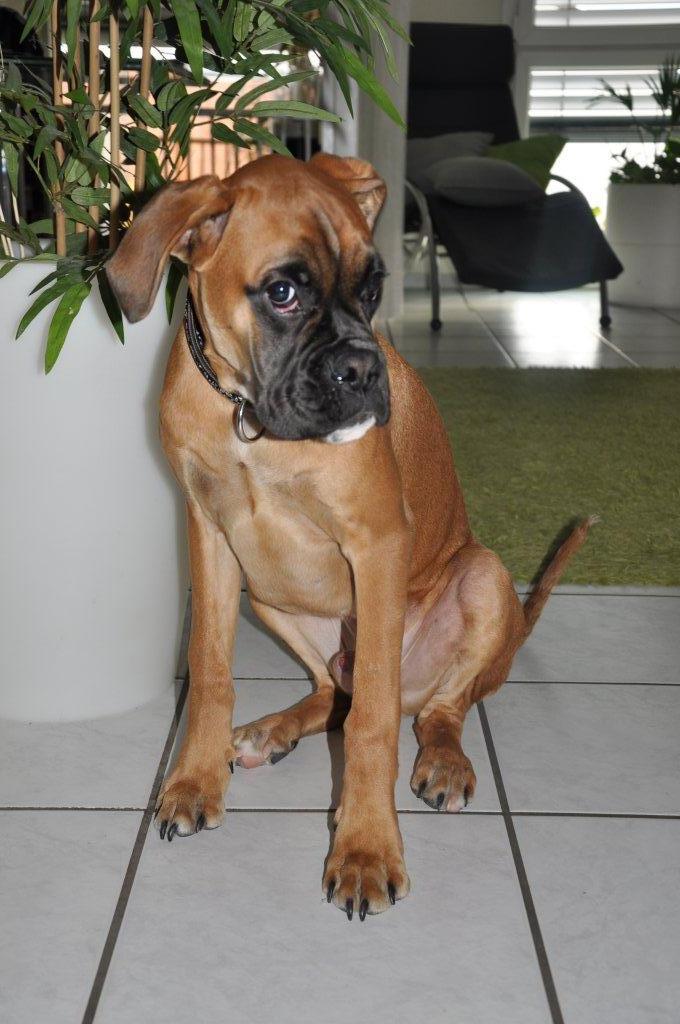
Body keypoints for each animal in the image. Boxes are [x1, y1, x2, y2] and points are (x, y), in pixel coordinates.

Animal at [106, 153, 593, 920]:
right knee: (329, 692)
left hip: (482, 581)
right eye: (282, 292)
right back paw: (270, 732)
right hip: (267, 595)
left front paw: (365, 849)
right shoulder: (209, 537)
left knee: (435, 709)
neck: (247, 415)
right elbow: (211, 671)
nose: (364, 372)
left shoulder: (378, 543)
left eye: (373, 287)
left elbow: (371, 725)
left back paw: (443, 760)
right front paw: (194, 781)